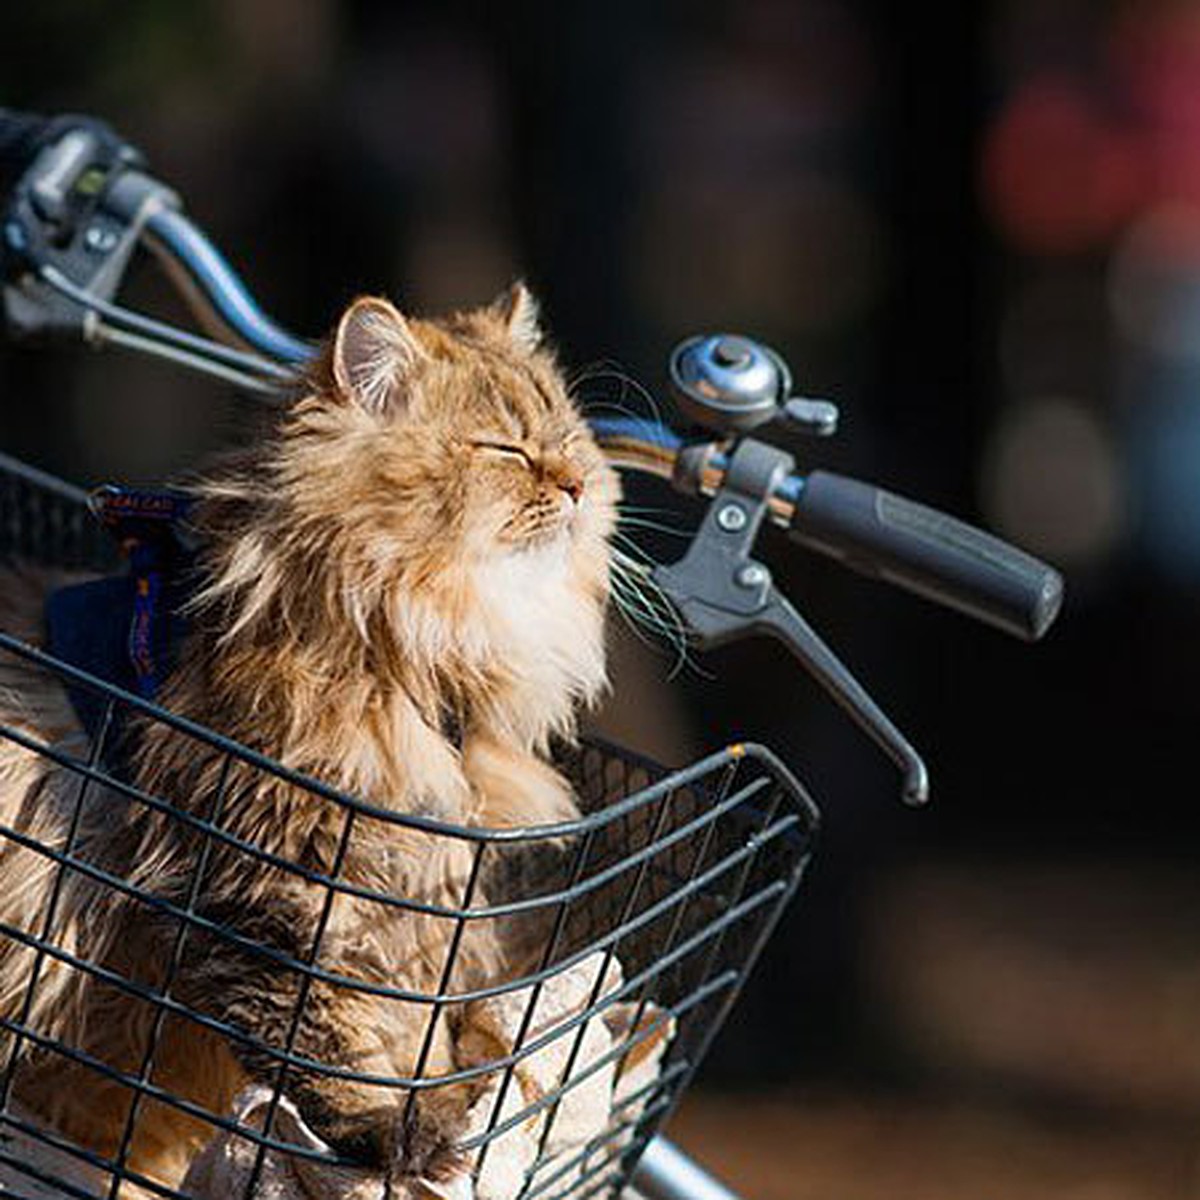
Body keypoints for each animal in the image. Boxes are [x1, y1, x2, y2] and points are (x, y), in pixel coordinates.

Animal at [0, 285, 619, 1195]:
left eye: (568, 442)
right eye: (506, 449)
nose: (576, 485)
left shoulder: (412, 903)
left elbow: (416, 1037)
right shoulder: (267, 881)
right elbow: (323, 1040)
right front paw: (401, 1139)